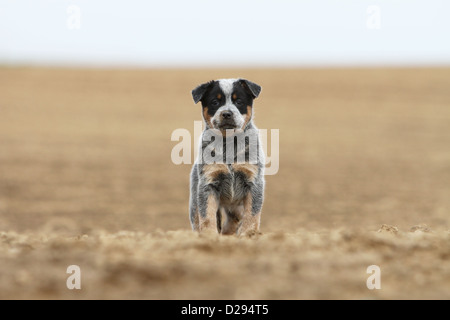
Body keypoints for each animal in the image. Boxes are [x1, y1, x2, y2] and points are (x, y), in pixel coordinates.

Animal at [189, 79, 264, 235]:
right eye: (215, 102)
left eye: (239, 101)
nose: (227, 113)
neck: (228, 143)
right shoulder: (208, 183)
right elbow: (207, 215)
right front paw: (209, 235)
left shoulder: (254, 181)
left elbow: (252, 214)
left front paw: (248, 234)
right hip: (194, 201)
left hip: (236, 208)